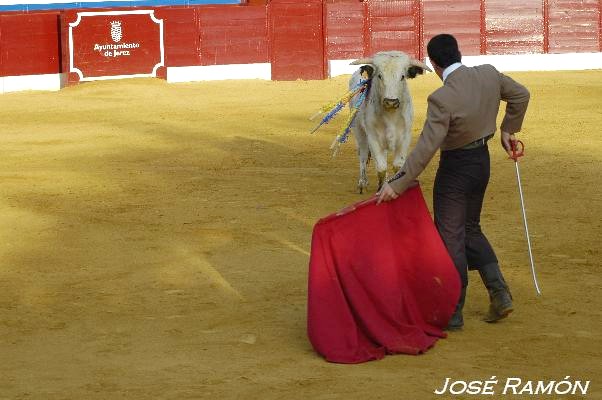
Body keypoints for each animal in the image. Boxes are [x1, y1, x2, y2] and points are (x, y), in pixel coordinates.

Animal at [350, 50, 428, 195]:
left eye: (402, 76)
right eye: (380, 76)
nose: (391, 102)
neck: (391, 116)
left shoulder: (405, 137)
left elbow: (397, 166)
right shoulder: (373, 138)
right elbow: (381, 167)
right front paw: (380, 189)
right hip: (359, 131)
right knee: (363, 154)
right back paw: (362, 182)